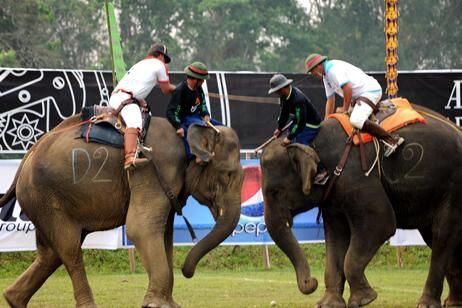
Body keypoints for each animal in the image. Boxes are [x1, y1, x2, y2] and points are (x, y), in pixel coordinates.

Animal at [0, 114, 244, 306]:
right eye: (227, 175)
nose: (188, 272)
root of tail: (27, 156)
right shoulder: (152, 169)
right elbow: (141, 229)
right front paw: (155, 305)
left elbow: (165, 234)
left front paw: (168, 304)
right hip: (46, 197)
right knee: (69, 248)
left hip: (42, 201)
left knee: (50, 254)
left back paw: (13, 299)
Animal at [262, 104, 462, 306]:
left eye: (275, 191)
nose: (311, 282)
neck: (313, 141)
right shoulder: (333, 196)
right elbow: (336, 237)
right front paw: (327, 304)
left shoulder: (357, 176)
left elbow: (380, 224)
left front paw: (364, 300)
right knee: (440, 240)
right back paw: (453, 302)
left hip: (453, 189)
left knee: (441, 236)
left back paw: (427, 303)